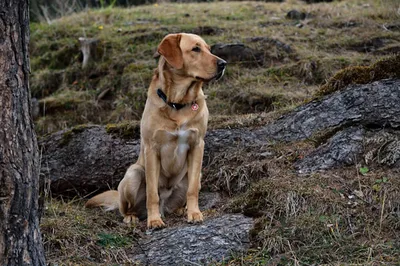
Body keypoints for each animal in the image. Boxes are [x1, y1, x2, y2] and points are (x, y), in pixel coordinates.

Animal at [86, 33, 227, 229]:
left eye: (208, 49)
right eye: (196, 49)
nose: (223, 63)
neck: (177, 103)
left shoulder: (197, 145)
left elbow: (192, 191)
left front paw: (194, 213)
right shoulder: (152, 148)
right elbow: (152, 193)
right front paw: (154, 220)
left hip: (196, 175)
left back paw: (180, 210)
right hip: (134, 173)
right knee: (128, 208)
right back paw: (133, 216)